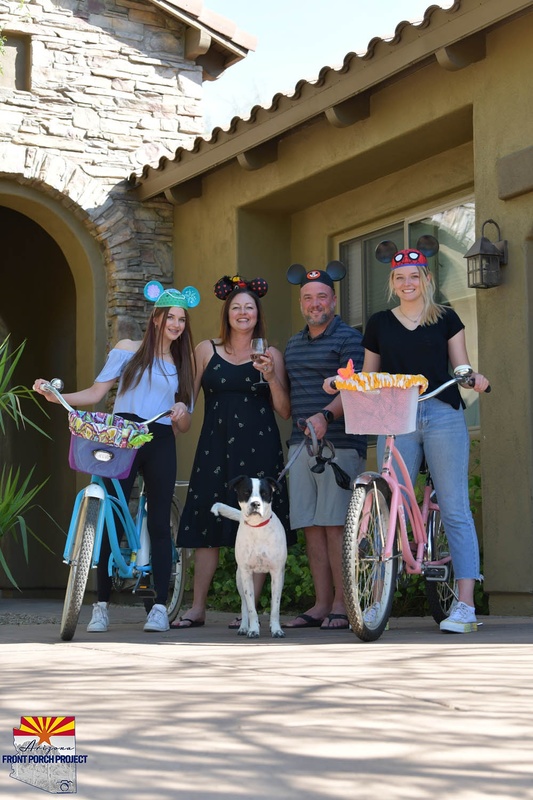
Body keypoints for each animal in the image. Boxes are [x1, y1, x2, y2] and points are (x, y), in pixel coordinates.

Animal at [212, 476, 286, 636]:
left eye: (264, 493)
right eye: (246, 492)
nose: (255, 504)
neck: (257, 528)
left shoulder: (277, 573)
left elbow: (275, 608)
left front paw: (276, 629)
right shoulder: (246, 573)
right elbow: (251, 608)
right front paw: (253, 630)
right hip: (240, 579)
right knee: (244, 605)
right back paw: (244, 627)